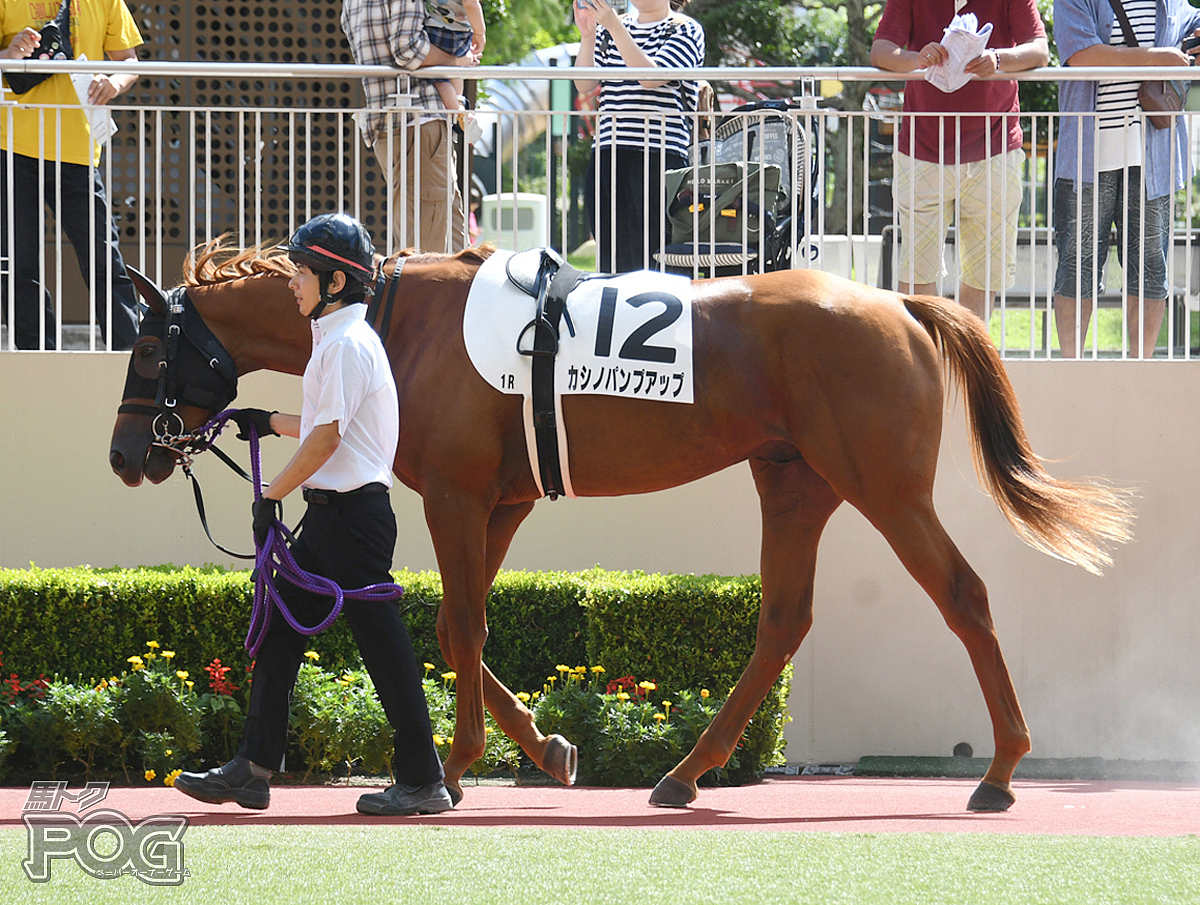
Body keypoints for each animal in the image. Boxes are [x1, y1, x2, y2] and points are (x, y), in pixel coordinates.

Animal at [108, 236, 1128, 806]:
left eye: (151, 347)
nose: (125, 456)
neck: (392, 316)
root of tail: (902, 304)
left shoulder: (457, 494)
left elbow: (458, 623)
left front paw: (454, 762)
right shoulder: (502, 498)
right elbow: (453, 624)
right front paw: (546, 748)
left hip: (885, 486)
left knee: (962, 594)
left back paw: (1000, 770)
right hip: (793, 482)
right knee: (783, 618)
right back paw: (684, 771)